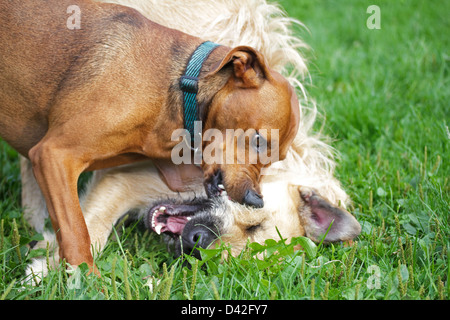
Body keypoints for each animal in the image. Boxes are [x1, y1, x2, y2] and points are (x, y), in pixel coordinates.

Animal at [1, 0, 300, 270]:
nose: (256, 200)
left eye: (278, 159)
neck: (180, 90)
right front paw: (86, 279)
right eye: (259, 140)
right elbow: (77, 234)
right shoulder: (54, 156)